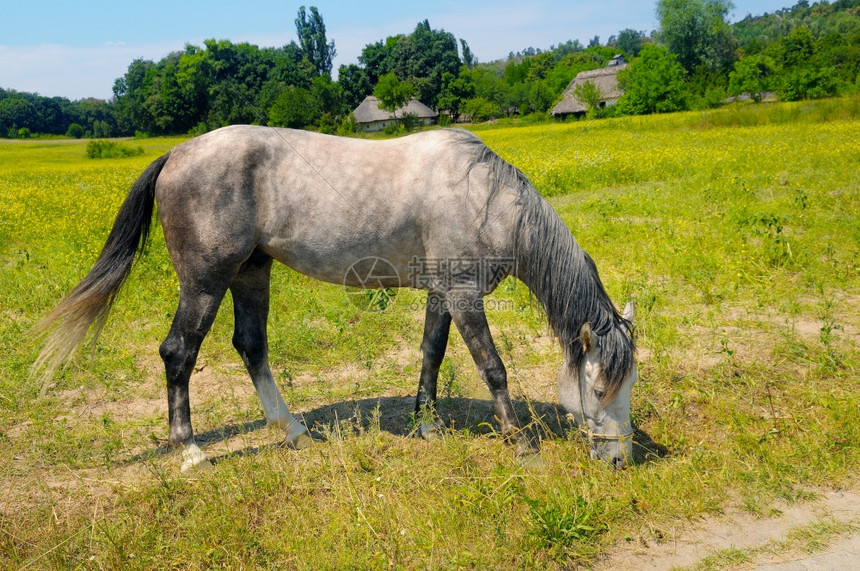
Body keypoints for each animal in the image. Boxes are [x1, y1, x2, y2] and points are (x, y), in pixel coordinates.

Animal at [35, 127, 640, 472]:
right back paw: (189, 452)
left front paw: (428, 426)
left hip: (251, 273)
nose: (618, 460)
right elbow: (493, 368)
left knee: (250, 346)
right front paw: (519, 445)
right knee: (179, 353)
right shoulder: (465, 296)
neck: (483, 196)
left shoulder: (442, 294)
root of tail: (178, 153)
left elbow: (431, 355)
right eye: (598, 388)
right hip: (205, 282)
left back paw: (293, 432)